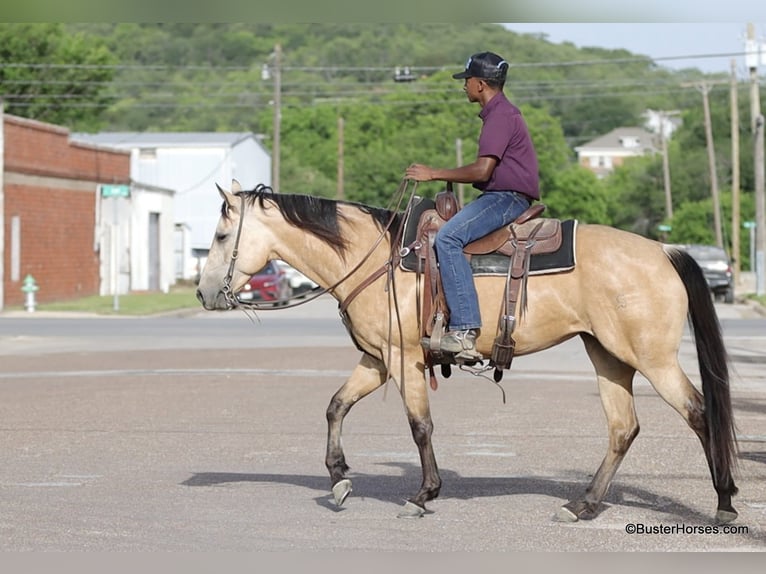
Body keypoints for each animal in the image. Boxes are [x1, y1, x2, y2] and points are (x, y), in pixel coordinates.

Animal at [195, 180, 739, 523]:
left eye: (221, 235)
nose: (203, 293)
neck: (376, 259)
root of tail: (662, 251)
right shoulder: (378, 359)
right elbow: (336, 406)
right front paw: (338, 480)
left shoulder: (404, 360)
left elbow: (419, 425)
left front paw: (423, 494)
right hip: (608, 357)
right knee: (623, 428)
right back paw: (581, 505)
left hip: (653, 360)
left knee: (699, 412)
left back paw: (725, 502)